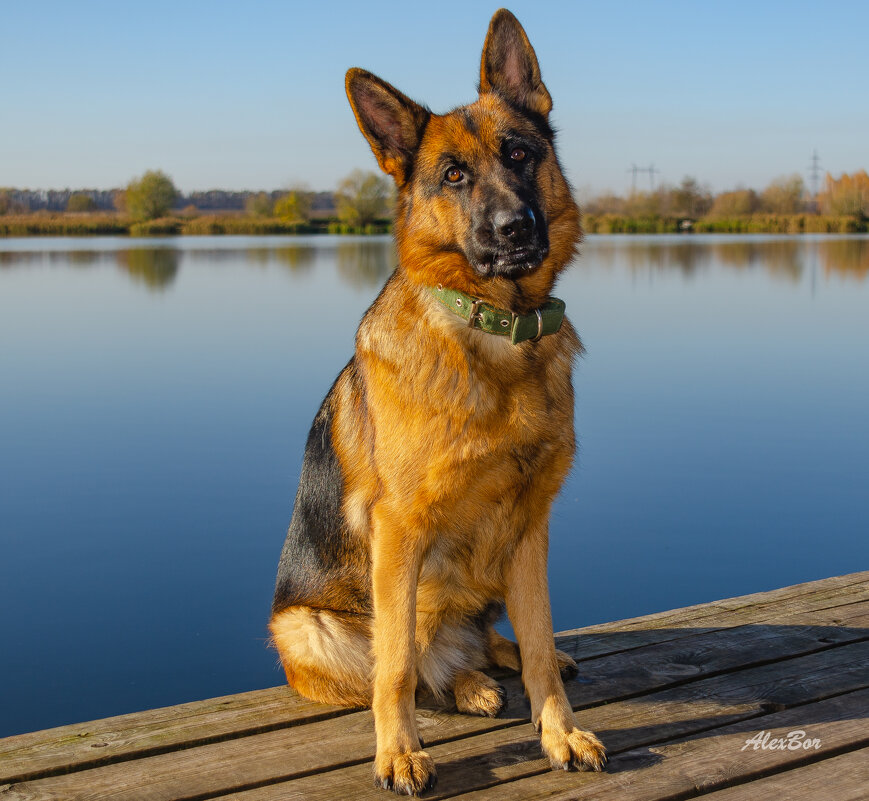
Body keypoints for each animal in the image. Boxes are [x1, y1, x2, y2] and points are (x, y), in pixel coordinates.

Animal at [270, 7, 604, 792]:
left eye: (519, 153)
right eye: (453, 175)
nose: (515, 227)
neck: (495, 331)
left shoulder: (530, 527)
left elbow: (538, 641)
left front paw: (558, 729)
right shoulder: (399, 530)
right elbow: (394, 667)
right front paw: (397, 750)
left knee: (488, 637)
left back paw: (492, 666)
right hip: (308, 625)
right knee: (416, 663)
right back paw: (465, 685)